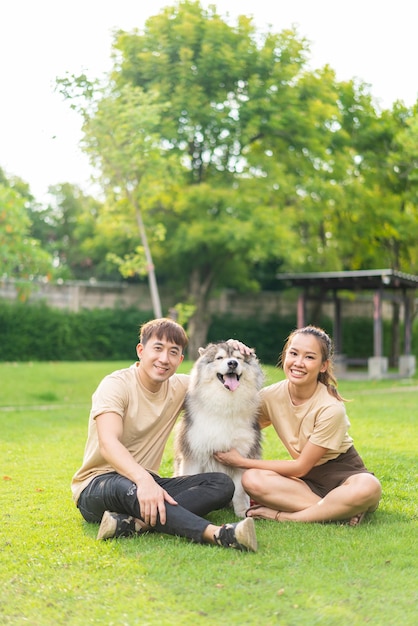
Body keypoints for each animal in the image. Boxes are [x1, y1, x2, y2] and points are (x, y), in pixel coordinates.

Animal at [175, 342, 262, 516]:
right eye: (219, 358)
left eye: (238, 358)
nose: (232, 363)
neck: (225, 404)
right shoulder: (193, 455)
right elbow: (190, 478)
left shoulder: (242, 454)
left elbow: (240, 491)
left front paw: (242, 512)